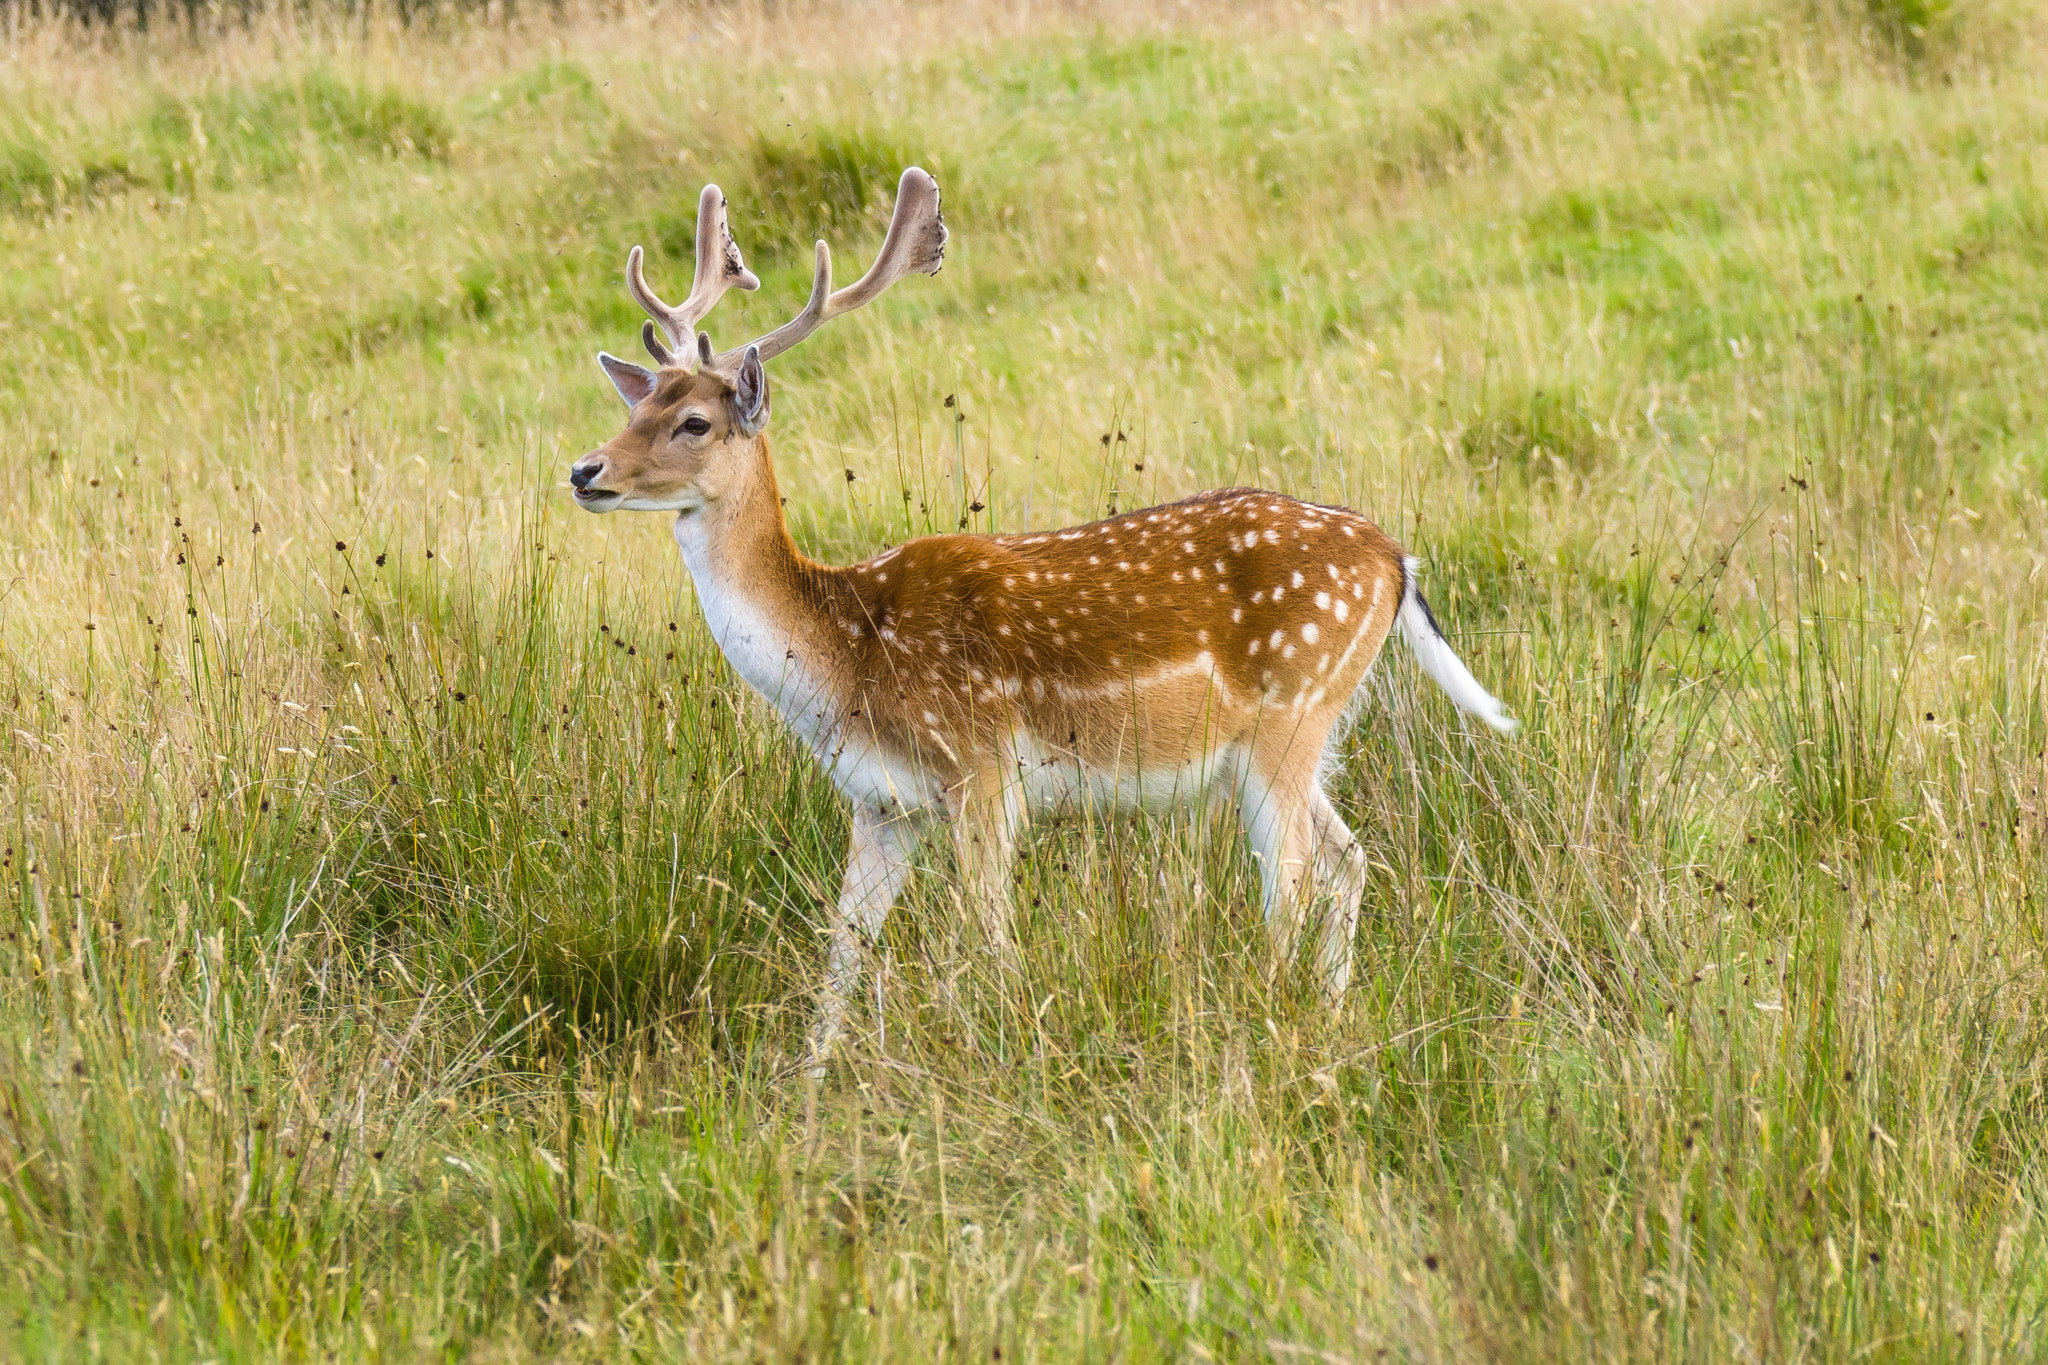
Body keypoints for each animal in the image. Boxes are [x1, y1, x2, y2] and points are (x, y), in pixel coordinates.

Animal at [567, 168, 1517, 1070]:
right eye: (634, 406)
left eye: (694, 421)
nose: (584, 470)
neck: (846, 654)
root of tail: (1395, 559)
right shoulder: (881, 803)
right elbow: (842, 952)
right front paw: (805, 1091)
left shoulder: (982, 767)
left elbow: (988, 938)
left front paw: (994, 1053)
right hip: (1295, 736)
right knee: (1351, 860)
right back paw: (1330, 1011)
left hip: (1293, 708)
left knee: (1293, 888)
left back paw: (1278, 1023)